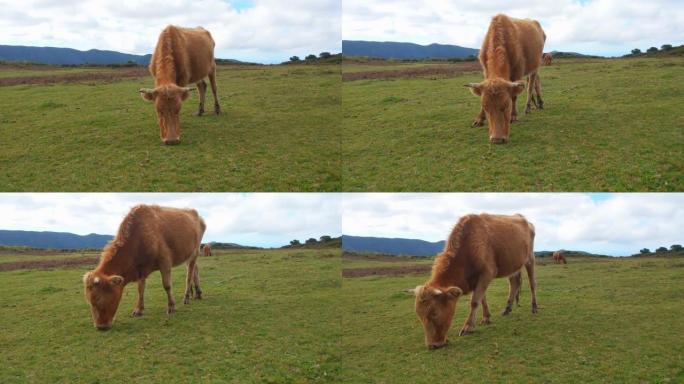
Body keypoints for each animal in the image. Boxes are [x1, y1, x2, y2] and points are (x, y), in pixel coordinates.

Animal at [408, 214, 536, 350]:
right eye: (419, 315)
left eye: (434, 313)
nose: (433, 345)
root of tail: (523, 218)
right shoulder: (477, 279)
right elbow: (482, 299)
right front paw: (486, 318)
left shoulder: (487, 273)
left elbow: (474, 302)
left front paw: (468, 327)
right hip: (513, 265)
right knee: (514, 284)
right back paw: (507, 309)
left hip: (530, 259)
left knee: (532, 284)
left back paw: (534, 307)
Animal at [464, 14, 544, 144]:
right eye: (486, 107)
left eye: (507, 105)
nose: (497, 139)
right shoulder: (485, 72)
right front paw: (479, 119)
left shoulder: (517, 73)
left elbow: (514, 96)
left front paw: (514, 116)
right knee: (537, 81)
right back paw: (540, 102)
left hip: (535, 65)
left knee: (531, 85)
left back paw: (528, 107)